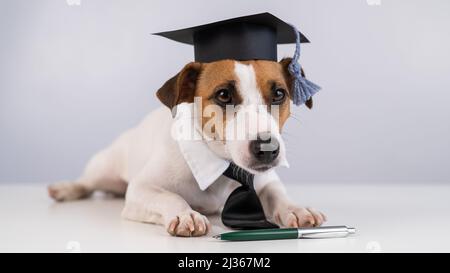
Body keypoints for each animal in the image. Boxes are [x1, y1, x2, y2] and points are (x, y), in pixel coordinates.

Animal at [47, 58, 326, 236]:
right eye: (224, 95)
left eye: (279, 94)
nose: (267, 149)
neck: (223, 164)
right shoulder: (141, 189)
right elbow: (169, 196)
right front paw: (185, 214)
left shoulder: (266, 180)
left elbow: (276, 193)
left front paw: (295, 209)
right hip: (104, 167)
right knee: (88, 182)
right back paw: (66, 188)